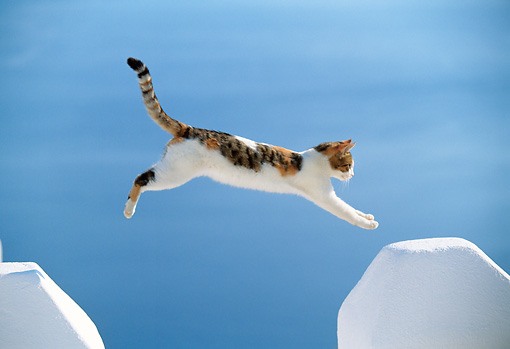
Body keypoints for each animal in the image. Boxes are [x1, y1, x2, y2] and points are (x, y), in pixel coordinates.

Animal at [123, 57, 378, 228]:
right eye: (348, 166)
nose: (352, 175)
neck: (312, 161)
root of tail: (190, 129)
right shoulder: (325, 196)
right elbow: (346, 211)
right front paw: (367, 224)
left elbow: (353, 208)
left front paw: (366, 215)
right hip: (175, 173)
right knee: (140, 178)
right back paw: (128, 210)